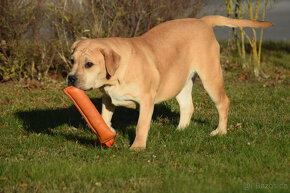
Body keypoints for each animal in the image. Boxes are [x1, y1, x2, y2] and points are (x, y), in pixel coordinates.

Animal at [67, 15, 272, 149]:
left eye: (89, 64)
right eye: (72, 61)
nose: (70, 78)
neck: (116, 75)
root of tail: (203, 21)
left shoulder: (146, 100)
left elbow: (141, 125)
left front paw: (137, 147)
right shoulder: (108, 99)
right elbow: (103, 116)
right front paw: (106, 131)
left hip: (210, 76)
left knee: (223, 102)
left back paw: (220, 131)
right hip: (180, 82)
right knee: (188, 107)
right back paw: (180, 129)